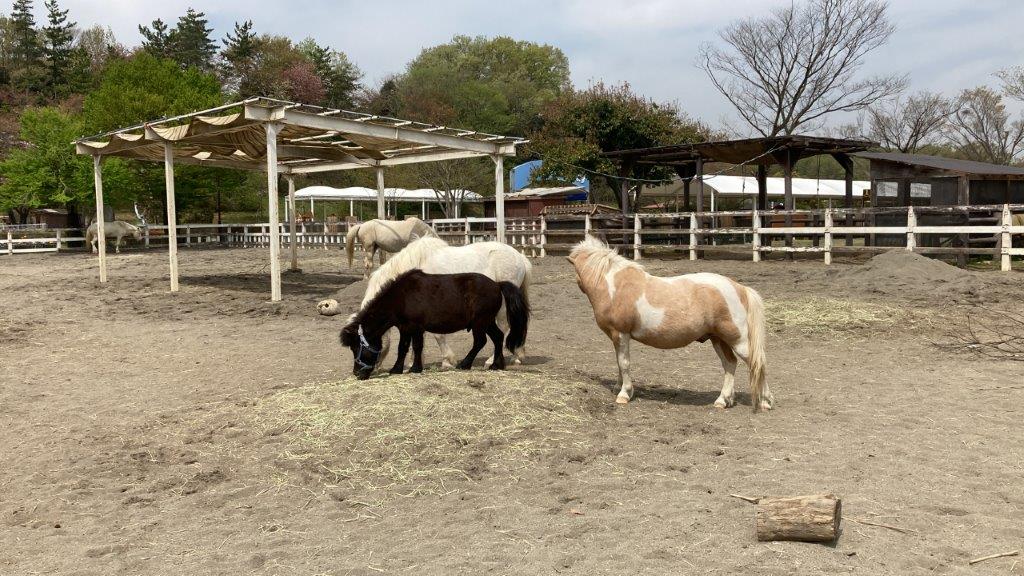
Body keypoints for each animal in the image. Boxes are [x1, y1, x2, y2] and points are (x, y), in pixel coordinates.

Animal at [319, 234, 532, 364]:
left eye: (359, 344)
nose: (362, 371)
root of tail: (520, 258)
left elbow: (438, 336)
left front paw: (448, 361)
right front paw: (412, 363)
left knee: (504, 328)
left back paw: (491, 360)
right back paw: (517, 356)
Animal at [342, 270, 532, 379]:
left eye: (356, 347)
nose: (357, 373)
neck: (401, 297)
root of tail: (497, 284)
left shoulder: (415, 327)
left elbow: (416, 347)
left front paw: (415, 368)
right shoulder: (405, 328)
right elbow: (403, 348)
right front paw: (398, 369)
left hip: (480, 322)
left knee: (480, 341)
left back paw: (465, 364)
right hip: (487, 322)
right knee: (498, 338)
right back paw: (496, 365)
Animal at [565, 236, 770, 407]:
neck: (614, 286)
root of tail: (740, 288)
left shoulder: (621, 333)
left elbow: (624, 363)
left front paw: (624, 394)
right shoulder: (617, 337)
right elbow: (618, 361)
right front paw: (618, 386)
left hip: (738, 341)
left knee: (757, 363)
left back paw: (765, 401)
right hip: (718, 339)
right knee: (729, 364)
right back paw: (723, 400)